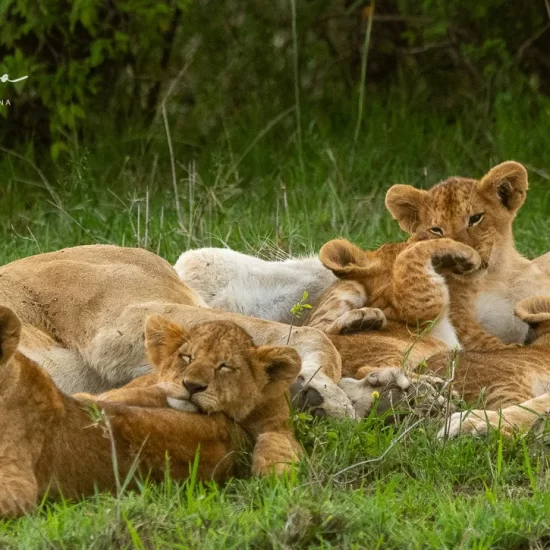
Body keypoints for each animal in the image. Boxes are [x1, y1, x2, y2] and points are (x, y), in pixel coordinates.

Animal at [0, 308, 302, 520]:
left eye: (224, 367)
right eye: (187, 357)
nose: (192, 386)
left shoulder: (277, 424)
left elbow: (279, 443)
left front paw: (276, 474)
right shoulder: (148, 392)